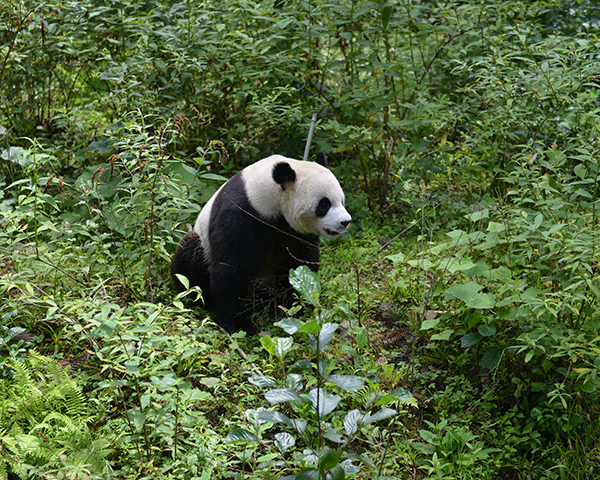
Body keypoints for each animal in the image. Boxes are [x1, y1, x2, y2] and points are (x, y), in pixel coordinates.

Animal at [170, 154, 352, 334]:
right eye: (324, 204)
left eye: (341, 201)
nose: (345, 222)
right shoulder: (243, 211)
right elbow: (231, 267)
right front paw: (239, 326)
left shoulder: (294, 230)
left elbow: (300, 264)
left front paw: (298, 307)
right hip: (202, 243)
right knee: (189, 259)